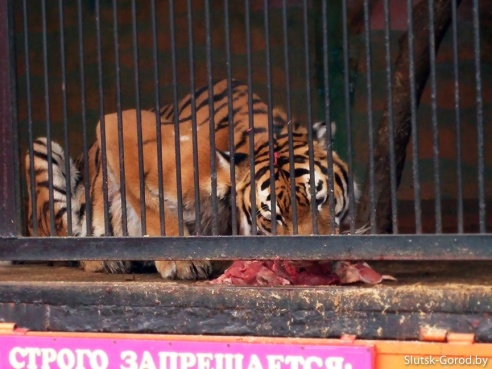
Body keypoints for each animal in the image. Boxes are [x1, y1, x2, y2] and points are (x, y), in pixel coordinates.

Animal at [25, 78, 356, 278]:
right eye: (274, 218)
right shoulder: (123, 127)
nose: (313, 262)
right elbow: (154, 210)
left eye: (321, 199)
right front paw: (183, 261)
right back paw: (102, 258)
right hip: (40, 150)